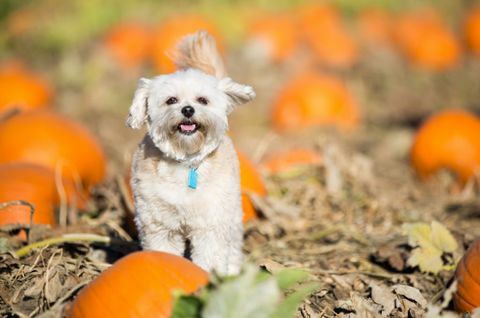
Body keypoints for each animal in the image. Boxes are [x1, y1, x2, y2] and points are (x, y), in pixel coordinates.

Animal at [126, 32, 255, 276]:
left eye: (202, 100)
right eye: (171, 100)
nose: (187, 109)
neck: (185, 163)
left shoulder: (212, 224)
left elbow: (211, 257)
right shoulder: (159, 225)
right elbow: (163, 250)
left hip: (232, 212)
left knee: (233, 245)